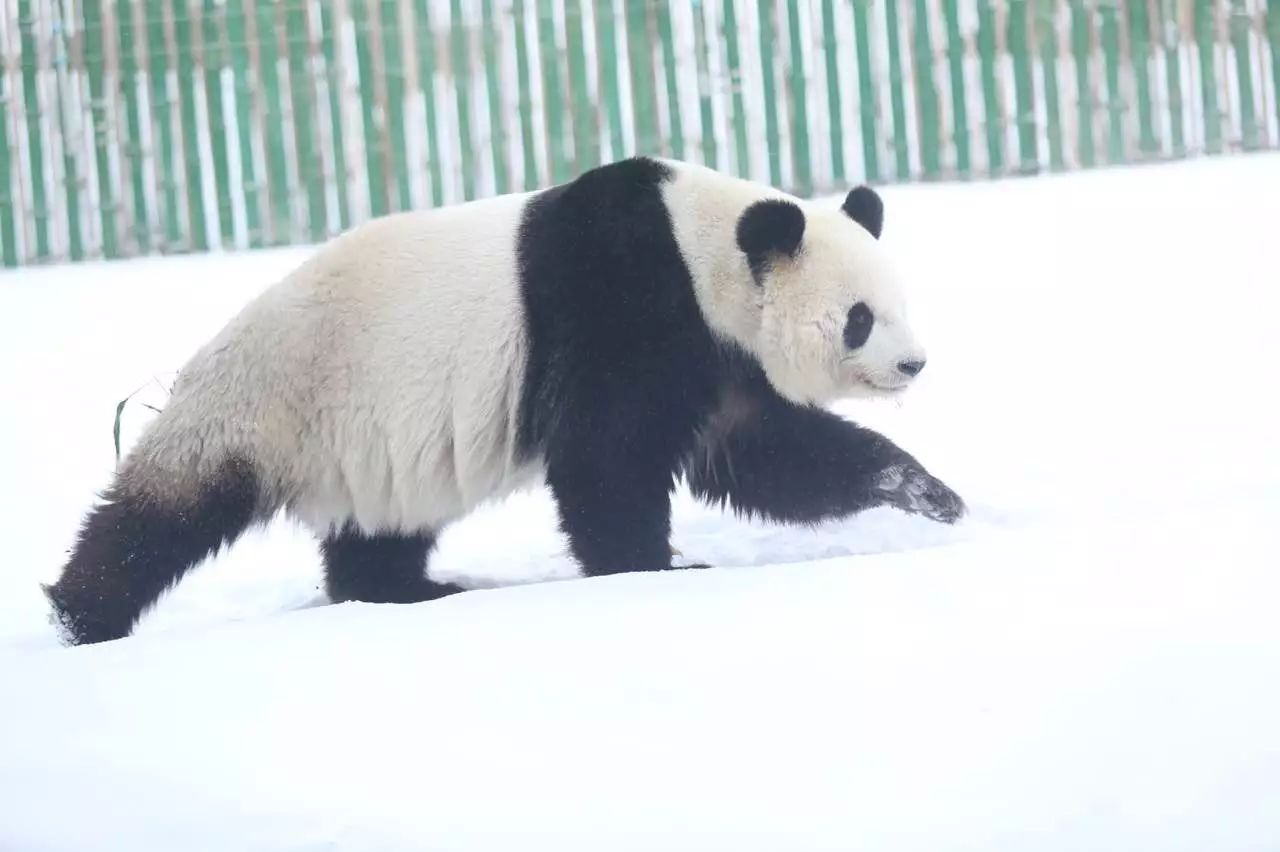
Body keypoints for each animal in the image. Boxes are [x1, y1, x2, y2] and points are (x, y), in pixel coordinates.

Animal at [40, 154, 962, 644]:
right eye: (859, 318)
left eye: (901, 303)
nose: (915, 364)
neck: (704, 248)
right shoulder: (622, 301)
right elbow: (606, 456)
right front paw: (656, 569)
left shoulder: (715, 352)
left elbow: (767, 455)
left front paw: (932, 496)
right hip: (270, 401)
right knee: (159, 517)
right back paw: (79, 618)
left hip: (364, 451)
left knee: (376, 535)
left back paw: (412, 593)